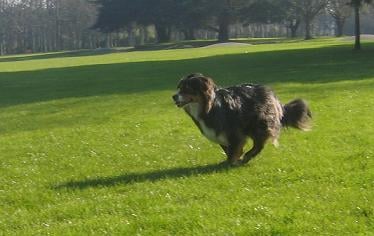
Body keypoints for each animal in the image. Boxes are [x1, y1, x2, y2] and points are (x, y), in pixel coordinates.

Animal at [171, 74, 312, 166]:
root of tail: (272, 95)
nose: (173, 96)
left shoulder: (234, 132)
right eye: (179, 88)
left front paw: (232, 162)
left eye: (187, 89)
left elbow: (234, 149)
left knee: (259, 145)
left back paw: (247, 157)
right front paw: (230, 161)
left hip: (259, 124)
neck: (209, 106)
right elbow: (227, 149)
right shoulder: (221, 134)